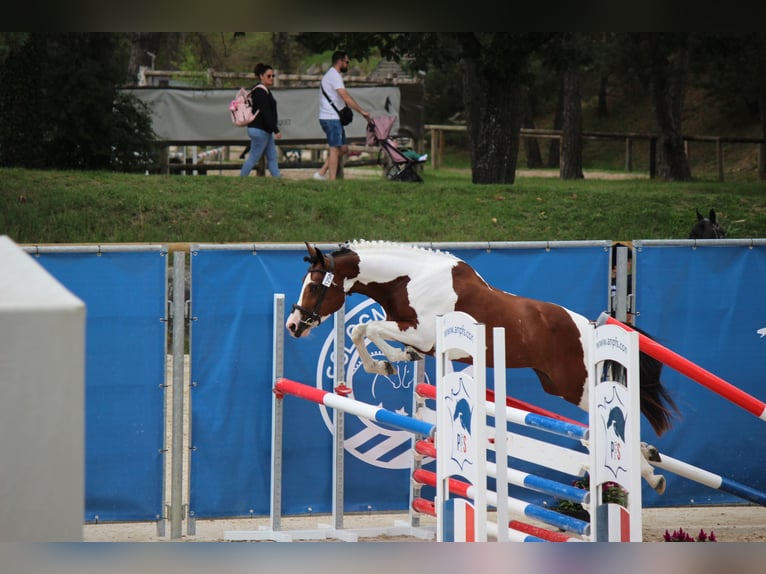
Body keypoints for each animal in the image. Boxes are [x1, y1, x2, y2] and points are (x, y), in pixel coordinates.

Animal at [286, 241, 680, 492]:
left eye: (314, 287)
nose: (292, 325)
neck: (409, 280)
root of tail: (590, 327)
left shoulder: (424, 333)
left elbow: (365, 329)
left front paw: (389, 363)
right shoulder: (413, 332)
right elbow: (363, 331)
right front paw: (392, 363)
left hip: (575, 386)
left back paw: (652, 475)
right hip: (556, 384)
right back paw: (649, 456)